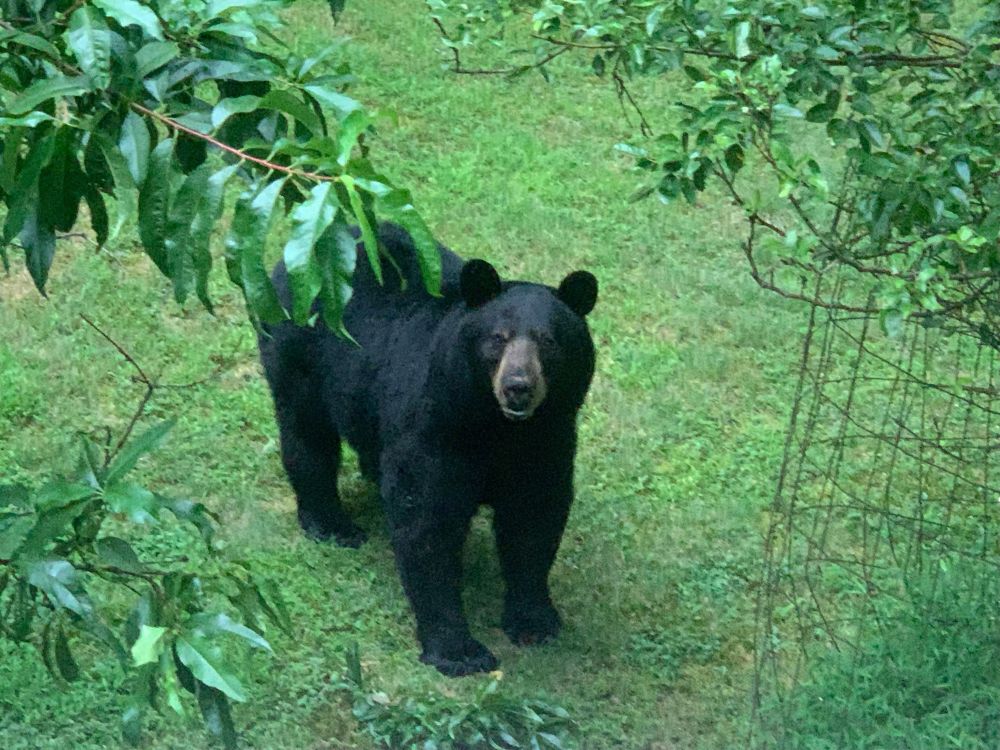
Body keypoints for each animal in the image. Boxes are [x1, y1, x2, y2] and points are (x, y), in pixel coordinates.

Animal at [258, 222, 598, 676]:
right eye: (498, 338)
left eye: (549, 340)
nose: (518, 387)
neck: (497, 429)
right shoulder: (437, 426)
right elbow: (426, 519)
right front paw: (459, 650)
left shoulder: (548, 437)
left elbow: (534, 518)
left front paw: (534, 621)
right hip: (300, 349)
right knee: (307, 435)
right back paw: (332, 524)